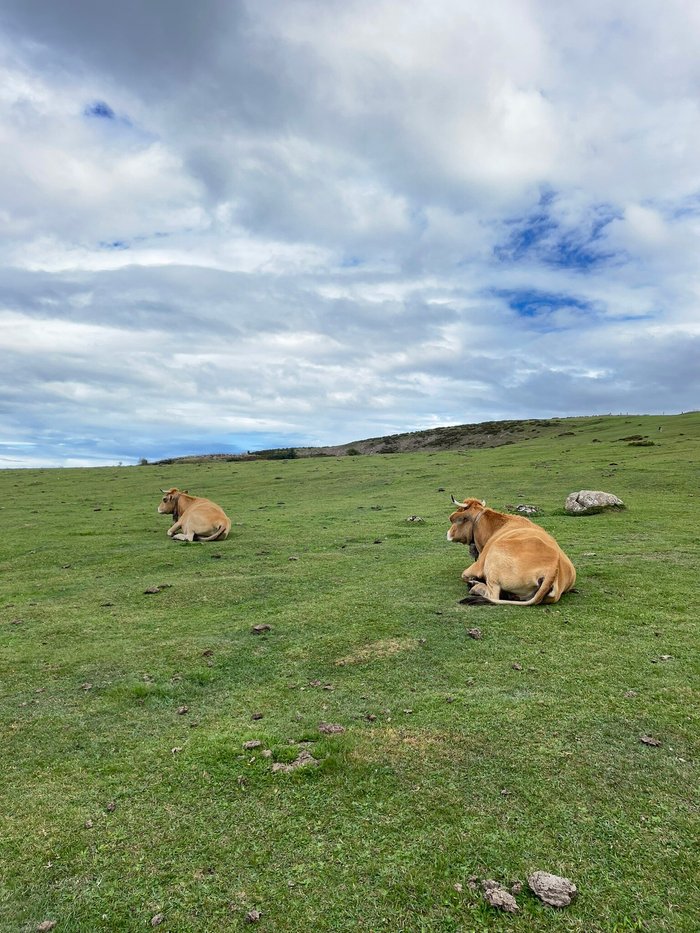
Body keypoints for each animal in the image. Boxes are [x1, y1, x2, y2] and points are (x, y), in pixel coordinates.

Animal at [446, 496, 576, 604]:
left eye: (456, 520)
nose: (447, 533)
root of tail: (553, 568)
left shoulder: (478, 565)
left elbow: (464, 575)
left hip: (493, 559)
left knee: (493, 595)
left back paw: (475, 586)